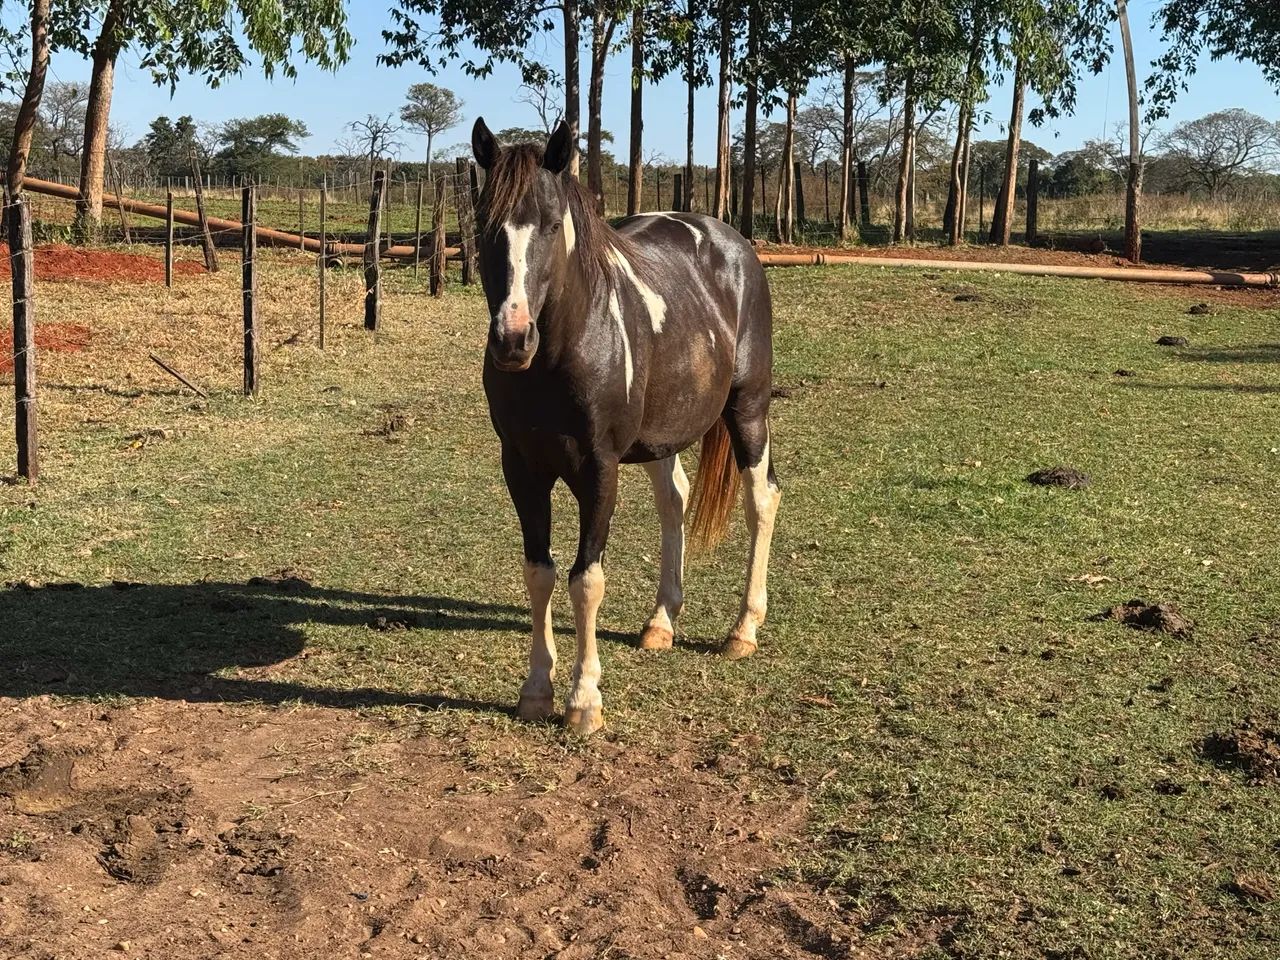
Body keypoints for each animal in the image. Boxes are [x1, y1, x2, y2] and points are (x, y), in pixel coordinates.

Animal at [470, 118, 781, 736]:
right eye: (484, 225)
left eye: (550, 224)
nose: (513, 339)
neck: (564, 351)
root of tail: (733, 244)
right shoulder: (521, 468)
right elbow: (538, 573)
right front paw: (536, 690)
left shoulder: (600, 469)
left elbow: (586, 580)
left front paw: (584, 699)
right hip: (665, 432)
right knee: (675, 500)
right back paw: (661, 622)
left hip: (748, 409)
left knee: (762, 500)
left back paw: (743, 630)